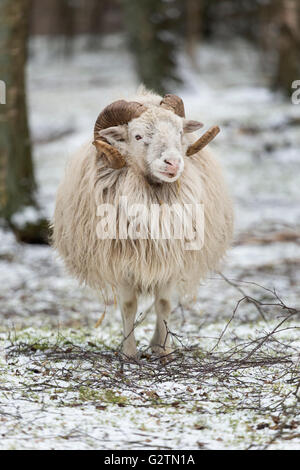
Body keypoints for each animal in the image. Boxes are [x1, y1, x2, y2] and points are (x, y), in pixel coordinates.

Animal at [52, 86, 233, 358]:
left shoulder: (170, 259)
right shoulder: (121, 263)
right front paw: (128, 352)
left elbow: (164, 303)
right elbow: (128, 306)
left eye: (180, 132)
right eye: (137, 136)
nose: (173, 163)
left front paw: (164, 350)